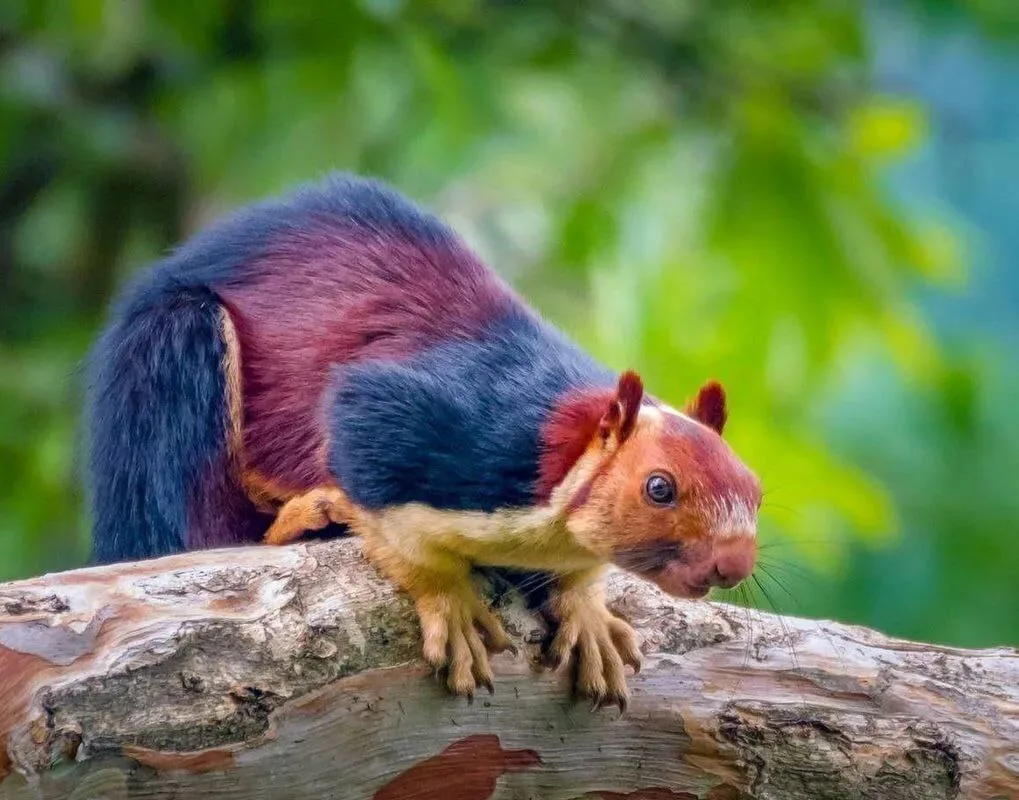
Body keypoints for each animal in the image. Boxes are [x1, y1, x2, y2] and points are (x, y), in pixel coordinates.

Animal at [86, 173, 761, 709]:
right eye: (658, 488)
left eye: (755, 490)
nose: (734, 563)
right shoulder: (428, 424)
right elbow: (390, 507)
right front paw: (450, 602)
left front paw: (588, 611)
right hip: (173, 362)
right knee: (195, 533)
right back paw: (306, 518)